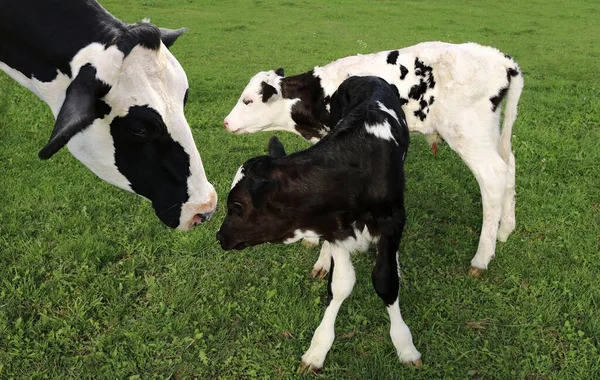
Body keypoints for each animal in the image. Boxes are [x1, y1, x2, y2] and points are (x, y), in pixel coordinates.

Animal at [218, 76, 420, 372]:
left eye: (237, 207)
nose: (219, 236)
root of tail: (365, 77)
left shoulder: (392, 218)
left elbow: (385, 280)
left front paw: (405, 345)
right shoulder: (334, 226)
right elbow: (341, 284)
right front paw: (318, 349)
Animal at [223, 40, 524, 274]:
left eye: (248, 100)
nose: (226, 122)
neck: (319, 95)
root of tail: (500, 58)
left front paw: (323, 260)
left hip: (466, 131)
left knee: (493, 176)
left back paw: (481, 258)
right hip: (488, 131)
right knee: (509, 166)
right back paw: (505, 229)